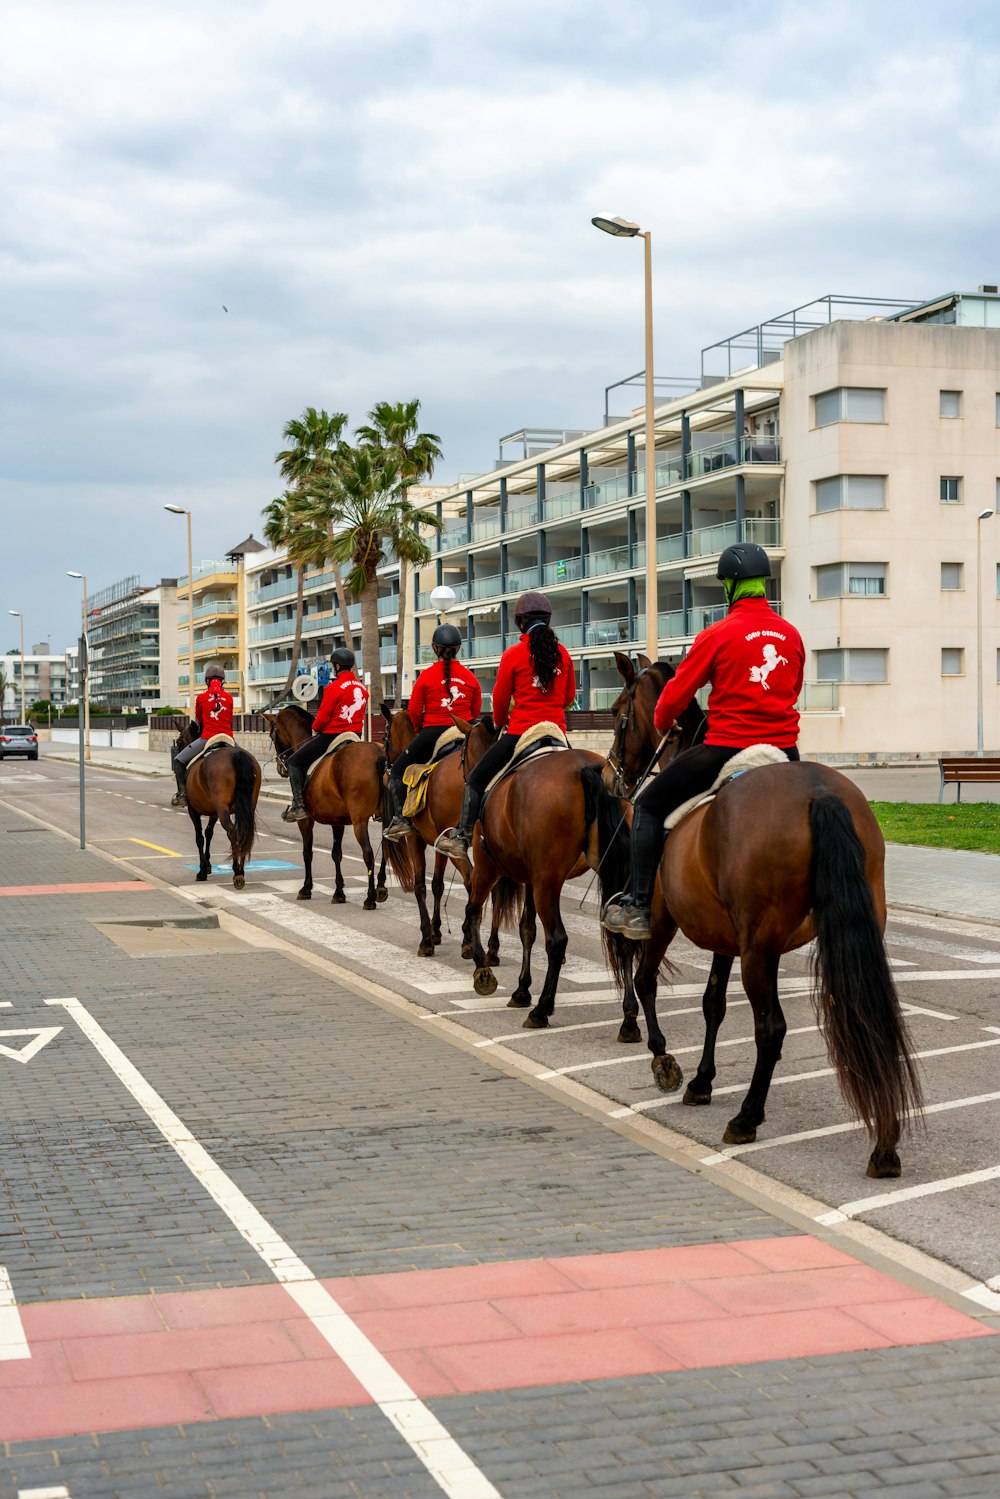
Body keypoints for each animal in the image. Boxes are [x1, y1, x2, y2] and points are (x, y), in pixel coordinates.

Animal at [172, 719, 260, 881]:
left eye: (180, 740)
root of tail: (236, 754)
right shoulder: (214, 813)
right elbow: (209, 833)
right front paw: (207, 866)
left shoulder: (193, 811)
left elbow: (200, 837)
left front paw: (202, 870)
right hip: (247, 806)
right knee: (244, 831)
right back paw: (241, 870)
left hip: (222, 808)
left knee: (232, 832)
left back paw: (238, 872)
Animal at [265, 707, 407, 905]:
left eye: (273, 734)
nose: (280, 767)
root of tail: (378, 754)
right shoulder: (337, 821)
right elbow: (336, 853)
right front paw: (339, 892)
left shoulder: (305, 821)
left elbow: (307, 852)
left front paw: (306, 888)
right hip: (386, 818)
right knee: (386, 848)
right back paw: (380, 887)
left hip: (359, 820)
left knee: (368, 853)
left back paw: (370, 897)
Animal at [383, 704, 521, 959]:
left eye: (385, 736)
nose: (387, 767)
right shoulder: (440, 844)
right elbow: (437, 884)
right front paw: (436, 931)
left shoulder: (416, 839)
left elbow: (420, 885)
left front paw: (427, 938)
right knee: (491, 889)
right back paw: (491, 946)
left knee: (472, 883)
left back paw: (470, 940)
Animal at [605, 662, 917, 1175]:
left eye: (616, 712)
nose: (613, 778)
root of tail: (819, 794)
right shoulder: (724, 937)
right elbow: (712, 1003)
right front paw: (702, 1081)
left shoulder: (666, 921)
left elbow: (648, 982)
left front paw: (664, 1059)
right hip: (845, 934)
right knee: (862, 1016)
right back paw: (885, 1145)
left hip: (759, 950)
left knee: (770, 1029)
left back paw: (747, 1117)